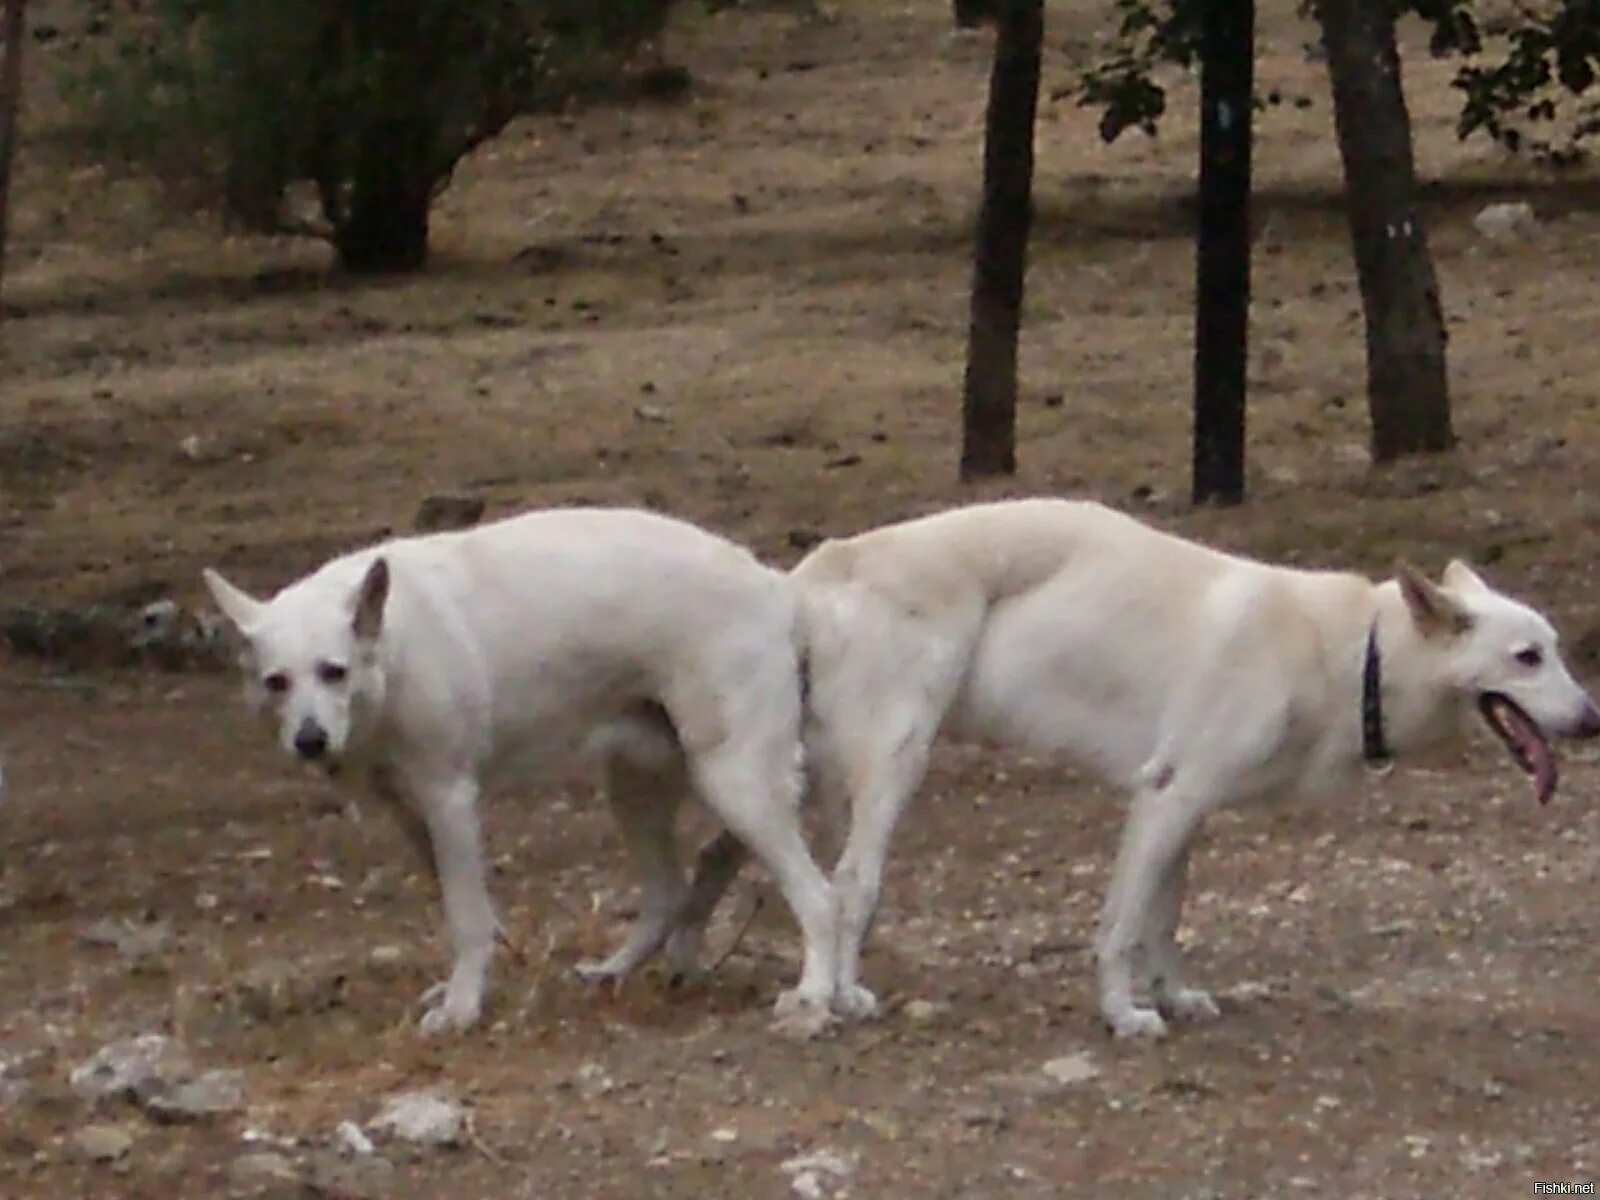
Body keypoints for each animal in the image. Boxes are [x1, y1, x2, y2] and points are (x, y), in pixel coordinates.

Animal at [206, 505, 844, 1036]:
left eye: (333, 672)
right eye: (277, 683)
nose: (310, 742)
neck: (396, 647)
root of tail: (777, 586)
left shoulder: (449, 802)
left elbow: (466, 916)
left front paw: (461, 1009)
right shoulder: (412, 815)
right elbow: (466, 909)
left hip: (734, 782)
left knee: (818, 896)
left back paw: (814, 995)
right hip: (643, 788)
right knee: (674, 889)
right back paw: (615, 971)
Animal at [640, 499, 1600, 1043]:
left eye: (1554, 650)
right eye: (1526, 659)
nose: (1592, 720)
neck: (1355, 652)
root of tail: (808, 571)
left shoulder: (1185, 811)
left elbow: (1164, 923)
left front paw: (1172, 998)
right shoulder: (1167, 800)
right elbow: (1121, 926)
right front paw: (1123, 1015)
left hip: (810, 774)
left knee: (761, 870)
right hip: (895, 762)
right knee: (848, 885)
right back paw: (838, 999)